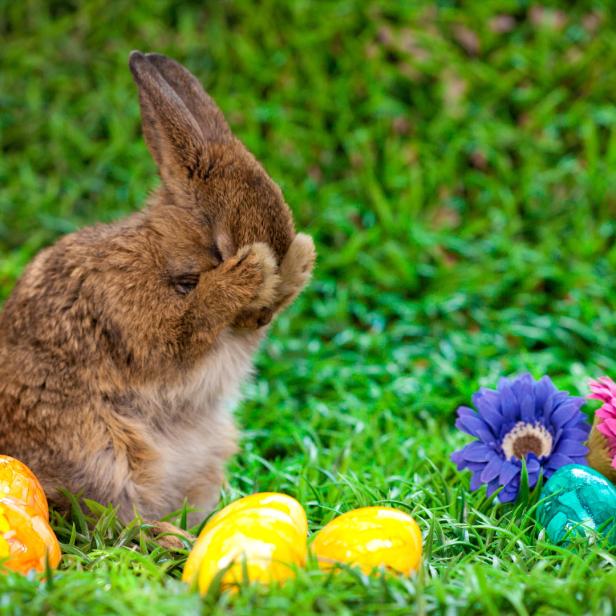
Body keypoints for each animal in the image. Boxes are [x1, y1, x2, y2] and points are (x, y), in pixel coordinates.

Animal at [0, 50, 318, 528]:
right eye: (218, 246)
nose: (260, 317)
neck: (163, 256)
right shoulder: (133, 317)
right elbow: (183, 330)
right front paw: (247, 274)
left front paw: (301, 258)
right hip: (101, 451)